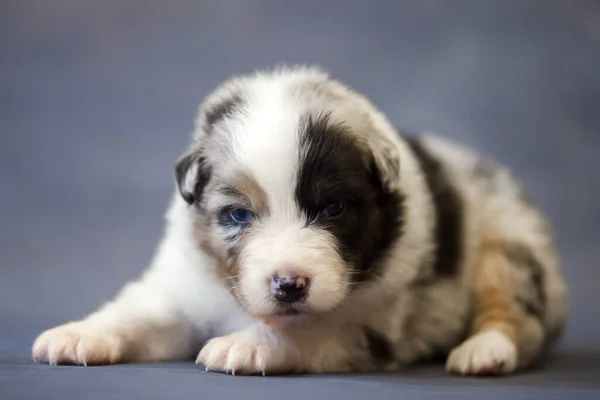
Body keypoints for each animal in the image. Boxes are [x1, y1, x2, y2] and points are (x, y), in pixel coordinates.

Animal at [31, 65, 568, 376]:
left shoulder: (368, 322)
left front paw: (242, 347)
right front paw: (76, 336)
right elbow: (137, 312)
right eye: (238, 214)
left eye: (332, 209)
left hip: (510, 245)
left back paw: (483, 352)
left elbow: (301, 331)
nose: (289, 285)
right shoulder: (182, 285)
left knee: (516, 313)